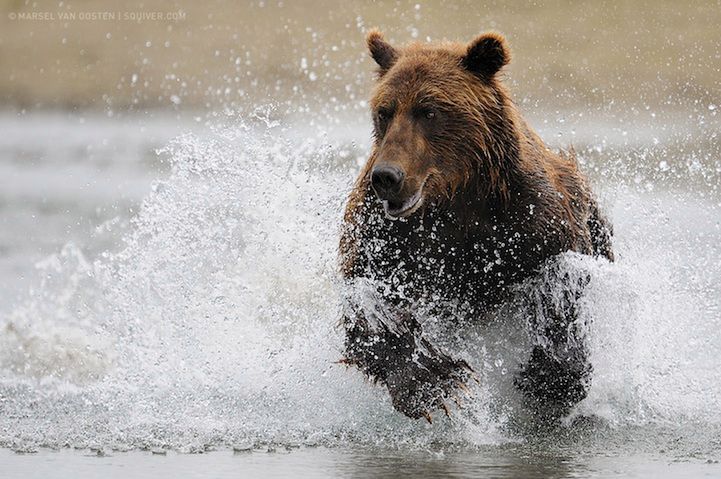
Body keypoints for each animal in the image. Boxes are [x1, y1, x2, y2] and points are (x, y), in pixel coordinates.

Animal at [338, 30, 612, 424]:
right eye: (384, 112)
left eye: (429, 110)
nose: (387, 177)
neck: (456, 197)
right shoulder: (384, 235)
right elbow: (368, 301)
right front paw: (437, 381)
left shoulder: (529, 218)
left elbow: (560, 280)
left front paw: (547, 379)